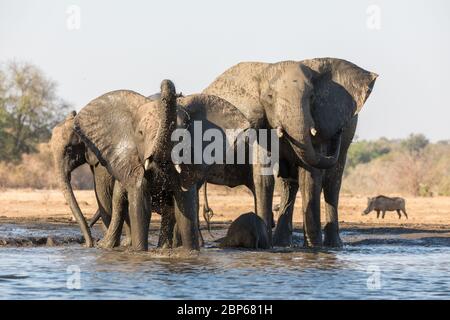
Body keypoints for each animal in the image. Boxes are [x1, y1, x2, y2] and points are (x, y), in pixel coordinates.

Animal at [72, 79, 251, 250]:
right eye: (140, 133)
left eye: (183, 135)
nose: (167, 83)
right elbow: (140, 208)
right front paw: (139, 252)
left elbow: (184, 208)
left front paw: (190, 253)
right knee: (120, 201)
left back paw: (163, 248)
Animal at [202, 57, 378, 248]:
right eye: (269, 97)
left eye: (312, 97)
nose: (339, 131)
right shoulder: (260, 125)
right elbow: (263, 176)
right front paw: (267, 244)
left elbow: (310, 177)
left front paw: (313, 247)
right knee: (288, 184)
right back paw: (282, 243)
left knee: (332, 184)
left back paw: (333, 245)